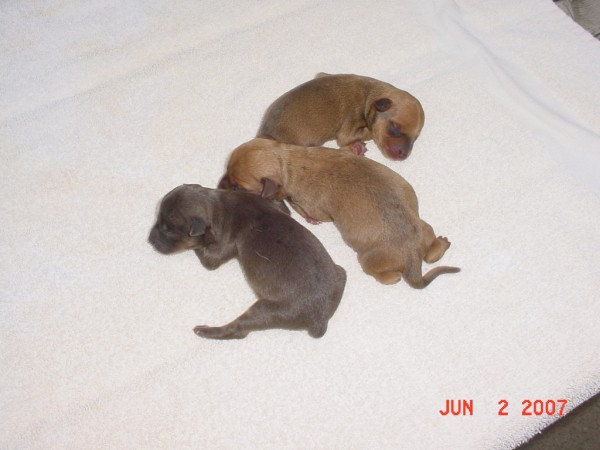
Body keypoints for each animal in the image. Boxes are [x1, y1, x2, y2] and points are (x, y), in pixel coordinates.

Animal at [148, 184, 346, 339]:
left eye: (169, 230)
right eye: (157, 218)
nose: (150, 240)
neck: (216, 205)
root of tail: (320, 320)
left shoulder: (222, 245)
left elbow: (207, 255)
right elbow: (282, 207)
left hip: (270, 309)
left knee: (239, 329)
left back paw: (204, 331)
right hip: (340, 273)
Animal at [219, 139, 459, 288]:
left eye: (237, 185)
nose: (220, 185)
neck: (290, 161)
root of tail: (411, 255)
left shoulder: (309, 204)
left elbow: (309, 212)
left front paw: (310, 220)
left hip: (368, 260)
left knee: (386, 275)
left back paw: (393, 277)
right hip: (424, 227)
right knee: (430, 253)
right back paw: (441, 244)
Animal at [257, 73, 425, 161]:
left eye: (415, 138)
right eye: (395, 128)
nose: (404, 155)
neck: (370, 95)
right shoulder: (349, 128)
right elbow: (367, 133)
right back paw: (355, 148)